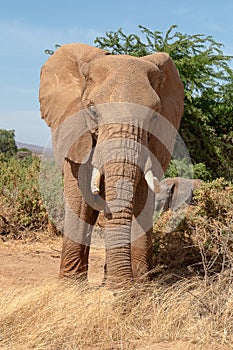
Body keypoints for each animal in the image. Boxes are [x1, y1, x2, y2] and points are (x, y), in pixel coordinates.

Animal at [38, 42, 184, 286]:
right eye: (92, 111)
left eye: (155, 117)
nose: (125, 283)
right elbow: (80, 201)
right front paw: (71, 285)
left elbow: (142, 198)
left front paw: (140, 284)